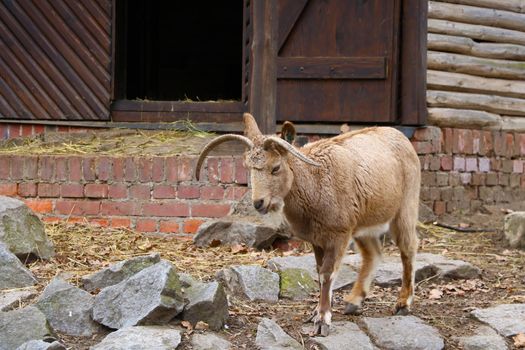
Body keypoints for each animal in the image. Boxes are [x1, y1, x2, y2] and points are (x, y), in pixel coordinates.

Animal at [194, 113, 420, 334]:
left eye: (276, 167)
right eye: (248, 167)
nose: (259, 203)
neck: (315, 183)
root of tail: (401, 138)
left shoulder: (338, 235)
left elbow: (328, 274)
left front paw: (322, 320)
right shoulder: (318, 239)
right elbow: (320, 273)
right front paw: (316, 312)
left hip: (405, 207)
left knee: (408, 248)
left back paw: (403, 304)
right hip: (364, 222)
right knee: (373, 253)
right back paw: (354, 302)